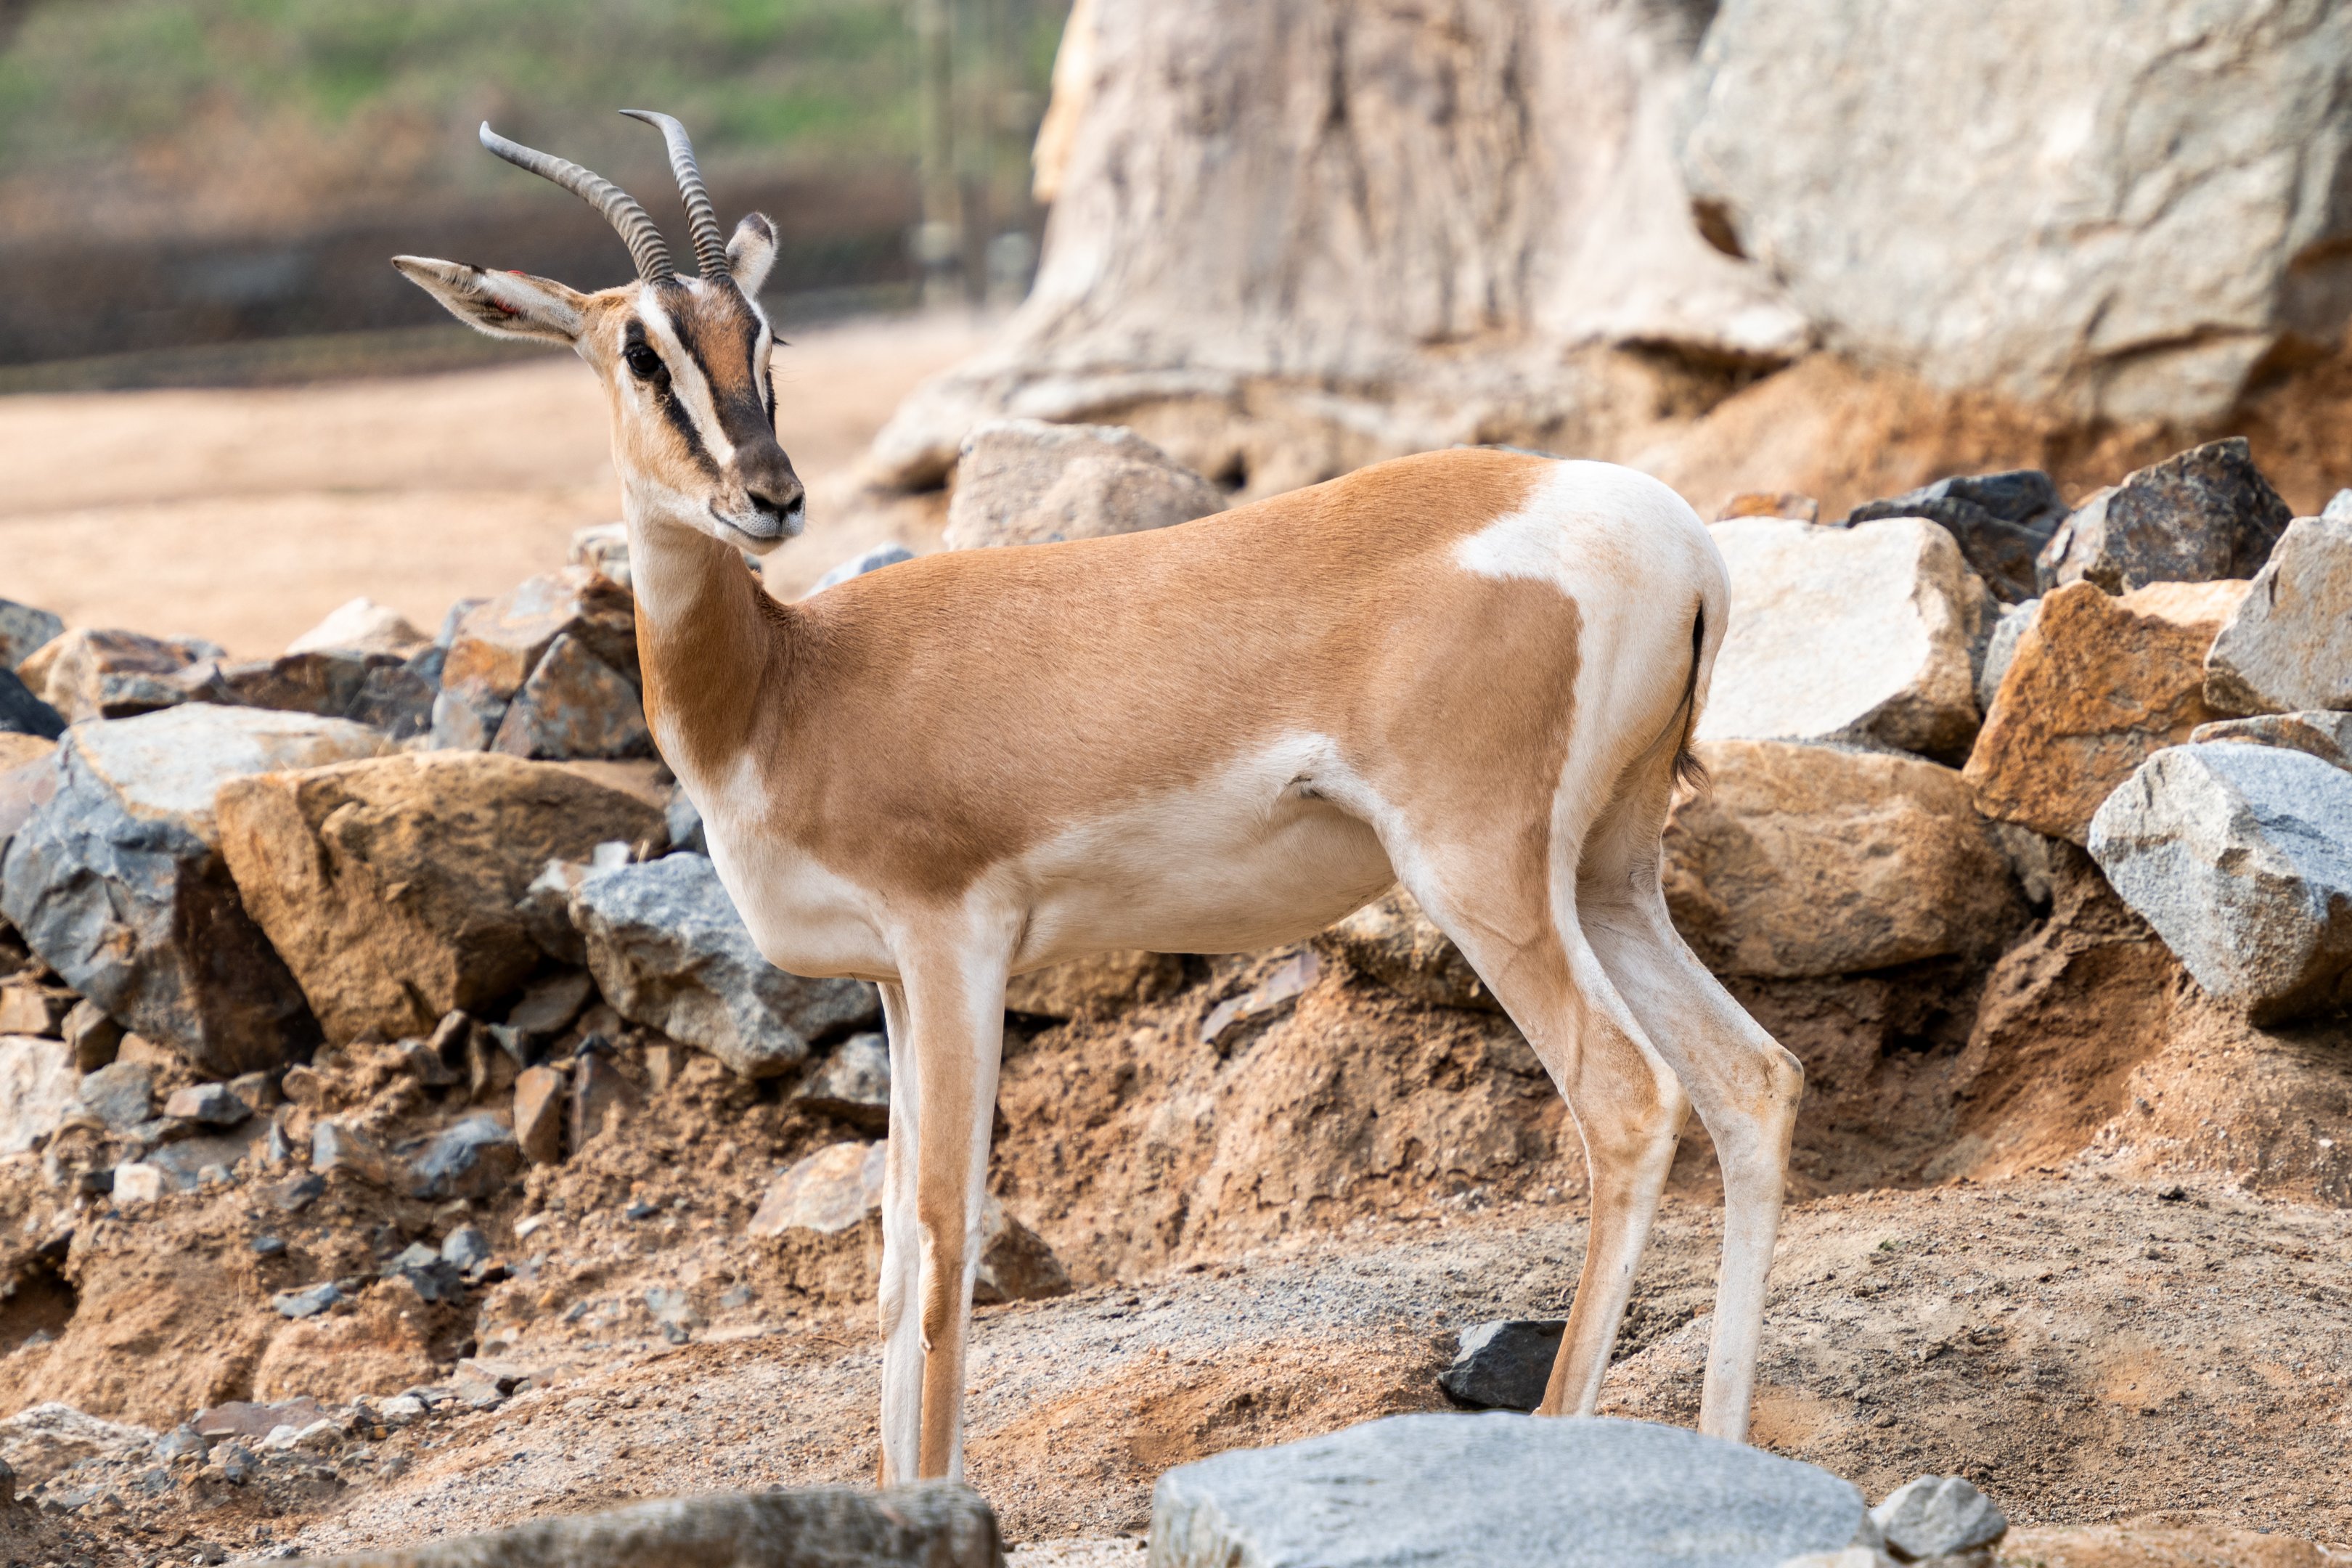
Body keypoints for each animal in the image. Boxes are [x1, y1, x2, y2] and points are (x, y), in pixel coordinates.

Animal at [395, 113, 1803, 1484]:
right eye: (643, 350)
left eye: (762, 333)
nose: (772, 496)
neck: (791, 687)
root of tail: (1678, 540)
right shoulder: (894, 980)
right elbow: (892, 1256)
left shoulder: (955, 943)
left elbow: (947, 1237)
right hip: (1607, 877)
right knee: (1753, 1080)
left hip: (1481, 880)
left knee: (1630, 1102)